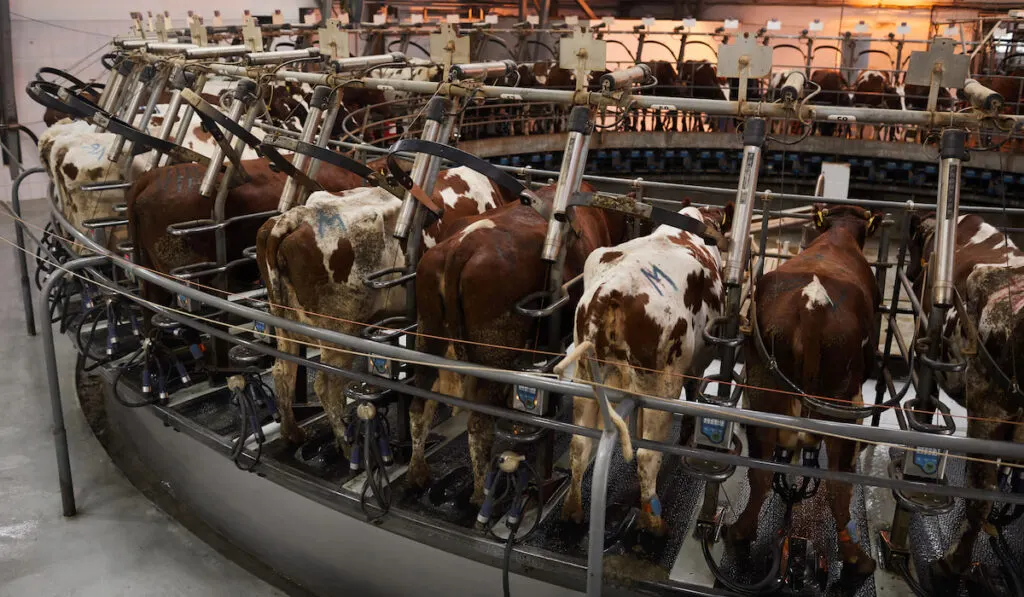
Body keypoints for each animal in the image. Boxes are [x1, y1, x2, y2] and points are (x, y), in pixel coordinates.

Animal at [256, 167, 512, 448]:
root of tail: (294, 218)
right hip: (338, 333)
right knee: (326, 385)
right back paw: (345, 443)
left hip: (285, 325)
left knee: (282, 370)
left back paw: (292, 432)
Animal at [407, 181, 630, 503]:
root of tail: (462, 246)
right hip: (494, 350)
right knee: (479, 424)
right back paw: (479, 493)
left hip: (428, 332)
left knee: (419, 405)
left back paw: (417, 473)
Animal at [557, 201, 733, 536]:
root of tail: (612, 290)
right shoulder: (696, 362)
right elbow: (694, 388)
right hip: (660, 386)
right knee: (648, 455)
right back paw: (653, 522)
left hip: (585, 375)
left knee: (578, 444)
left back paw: (572, 509)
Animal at [729, 204, 880, 593]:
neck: (839, 233)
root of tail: (813, 304)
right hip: (844, 401)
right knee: (839, 482)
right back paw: (857, 559)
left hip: (762, 390)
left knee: (761, 470)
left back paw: (740, 532)